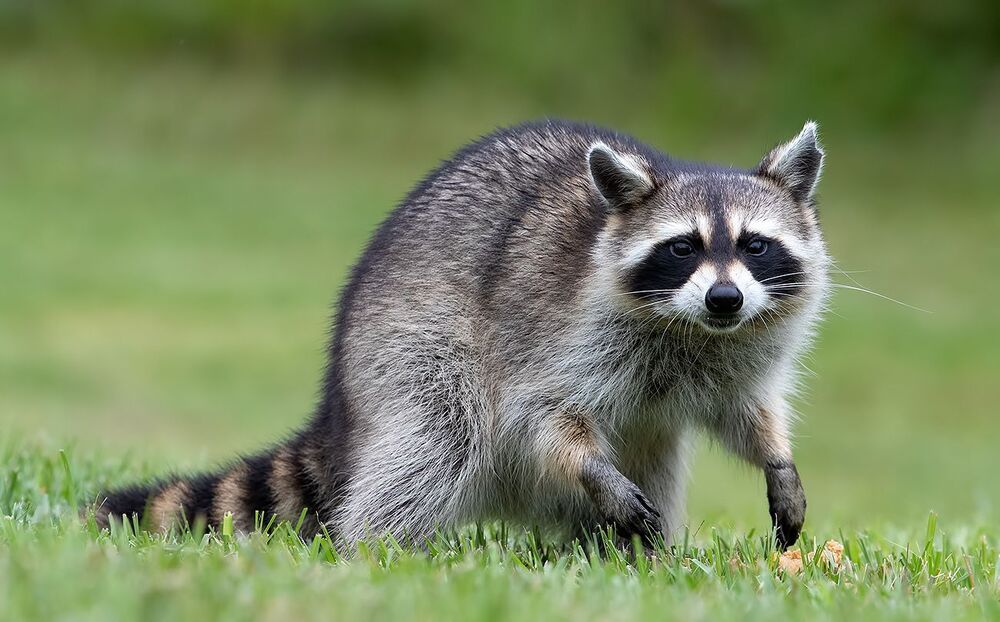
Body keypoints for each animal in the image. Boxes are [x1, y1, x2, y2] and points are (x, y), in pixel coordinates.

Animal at [91, 120, 829, 549]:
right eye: (682, 248)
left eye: (755, 245)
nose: (725, 297)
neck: (692, 329)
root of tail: (340, 402)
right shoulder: (555, 332)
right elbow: (542, 419)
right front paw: (592, 468)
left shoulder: (739, 352)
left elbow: (746, 411)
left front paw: (778, 459)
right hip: (408, 343)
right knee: (438, 437)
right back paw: (378, 548)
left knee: (654, 454)